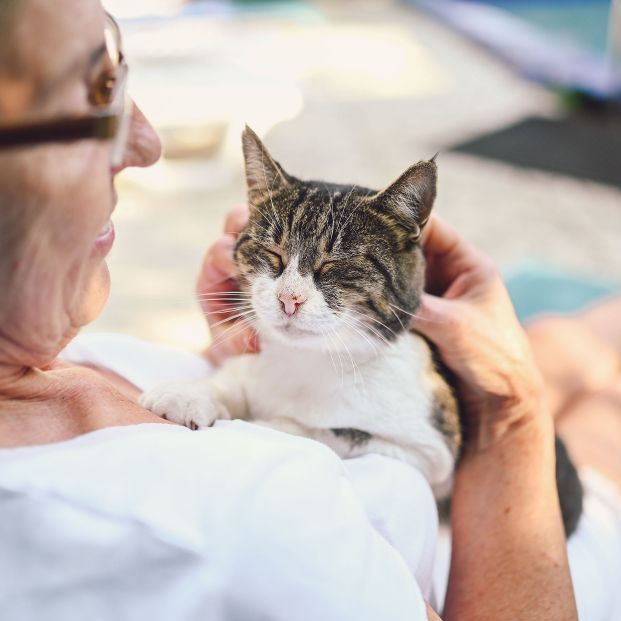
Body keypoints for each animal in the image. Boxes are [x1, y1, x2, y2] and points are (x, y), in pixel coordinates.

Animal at [140, 124, 580, 532]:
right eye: (272, 254)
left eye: (334, 265)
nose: (288, 299)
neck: (312, 361)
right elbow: (235, 378)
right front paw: (191, 393)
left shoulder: (432, 454)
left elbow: (335, 432)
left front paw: (267, 425)